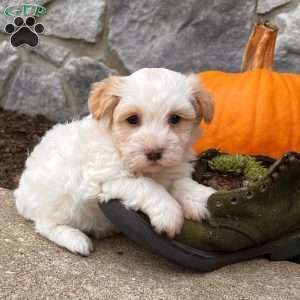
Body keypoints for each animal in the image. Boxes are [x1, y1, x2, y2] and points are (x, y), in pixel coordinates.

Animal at [14, 68, 216, 255]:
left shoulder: (172, 169)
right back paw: (76, 240)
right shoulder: (106, 178)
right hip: (56, 203)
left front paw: (202, 198)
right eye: (132, 119)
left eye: (175, 118)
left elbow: (183, 183)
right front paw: (169, 214)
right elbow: (148, 186)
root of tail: (20, 194)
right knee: (45, 224)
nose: (154, 153)